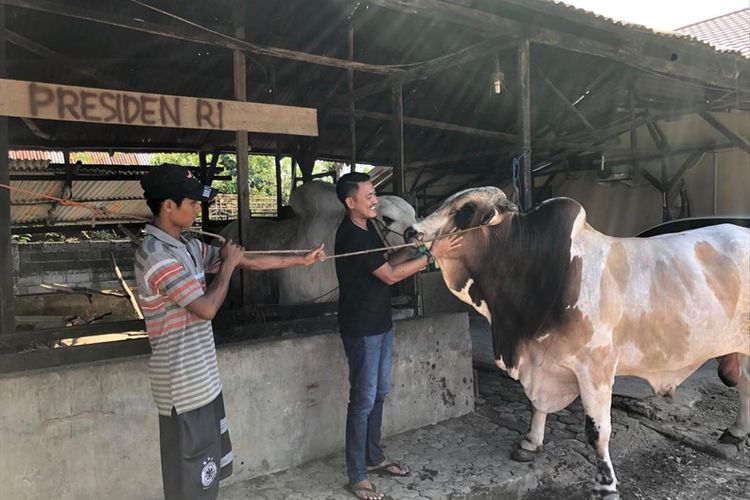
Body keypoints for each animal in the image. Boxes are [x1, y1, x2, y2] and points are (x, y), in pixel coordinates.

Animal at [408, 188, 748, 500]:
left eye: (465, 209)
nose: (412, 230)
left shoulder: (595, 369)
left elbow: (598, 432)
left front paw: (606, 483)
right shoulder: (541, 358)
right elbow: (536, 405)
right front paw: (530, 443)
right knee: (745, 385)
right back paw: (735, 432)